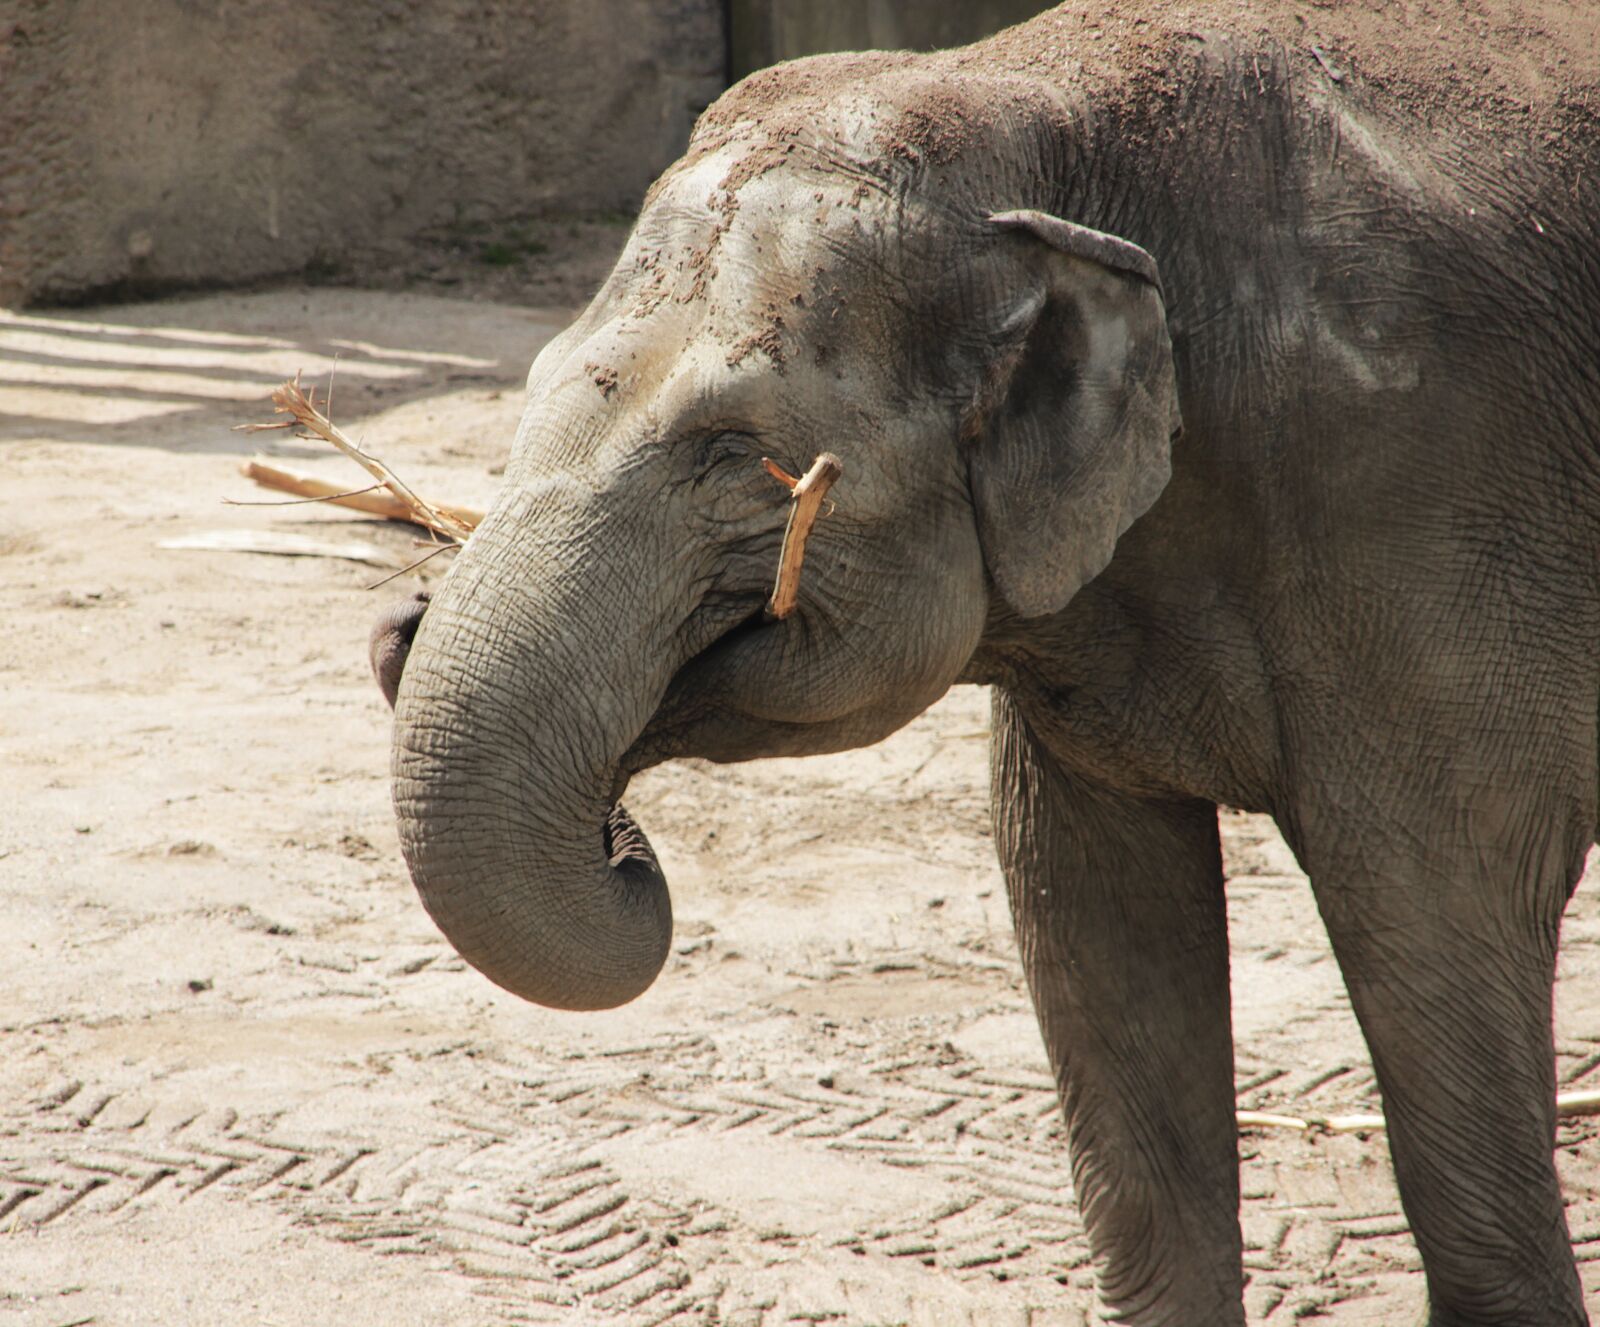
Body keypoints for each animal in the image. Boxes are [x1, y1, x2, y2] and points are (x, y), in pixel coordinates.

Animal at [370, 6, 1600, 1323]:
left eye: (732, 449)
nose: (404, 615)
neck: (1034, 126)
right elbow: (1088, 919)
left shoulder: (1432, 496)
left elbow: (1433, 918)